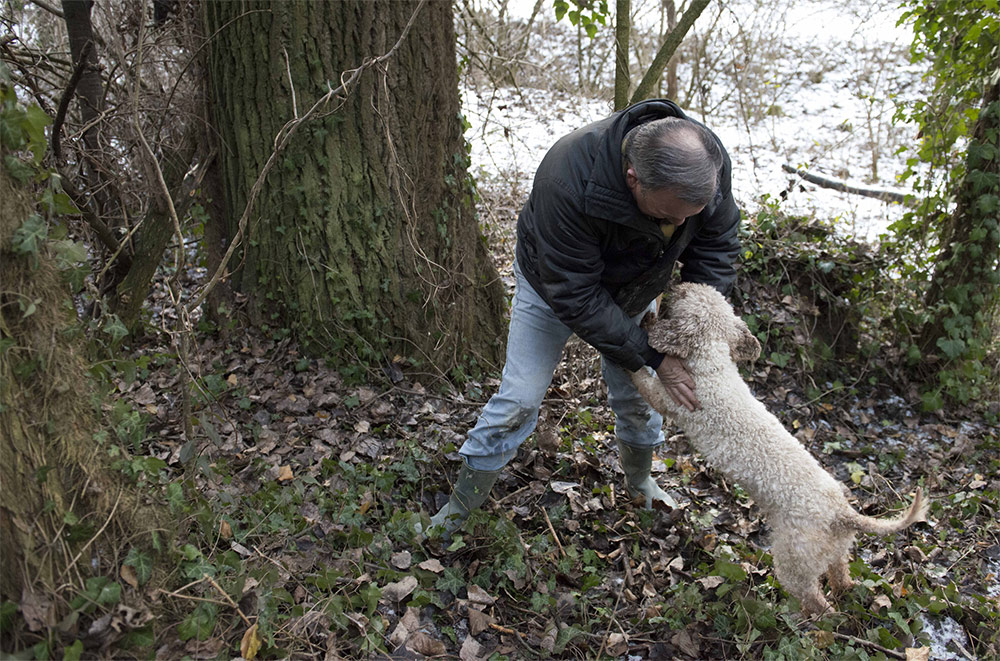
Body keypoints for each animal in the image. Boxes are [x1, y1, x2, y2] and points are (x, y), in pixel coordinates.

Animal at [628, 282, 924, 612]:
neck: (713, 365)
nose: (679, 284)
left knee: (818, 605)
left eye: (685, 297)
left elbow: (643, 379)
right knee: (841, 577)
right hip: (836, 552)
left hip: (794, 561)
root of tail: (841, 513)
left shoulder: (668, 399)